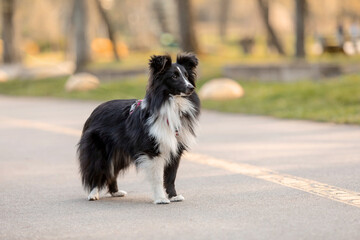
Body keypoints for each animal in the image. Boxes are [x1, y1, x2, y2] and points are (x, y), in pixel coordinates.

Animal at [78, 53, 200, 204]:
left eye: (186, 75)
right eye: (174, 76)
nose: (191, 88)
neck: (170, 102)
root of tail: (94, 111)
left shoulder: (175, 148)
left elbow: (171, 177)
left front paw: (174, 196)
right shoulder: (152, 149)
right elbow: (158, 177)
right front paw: (161, 198)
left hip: (119, 153)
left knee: (112, 172)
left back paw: (116, 192)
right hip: (99, 150)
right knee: (98, 170)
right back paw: (93, 194)